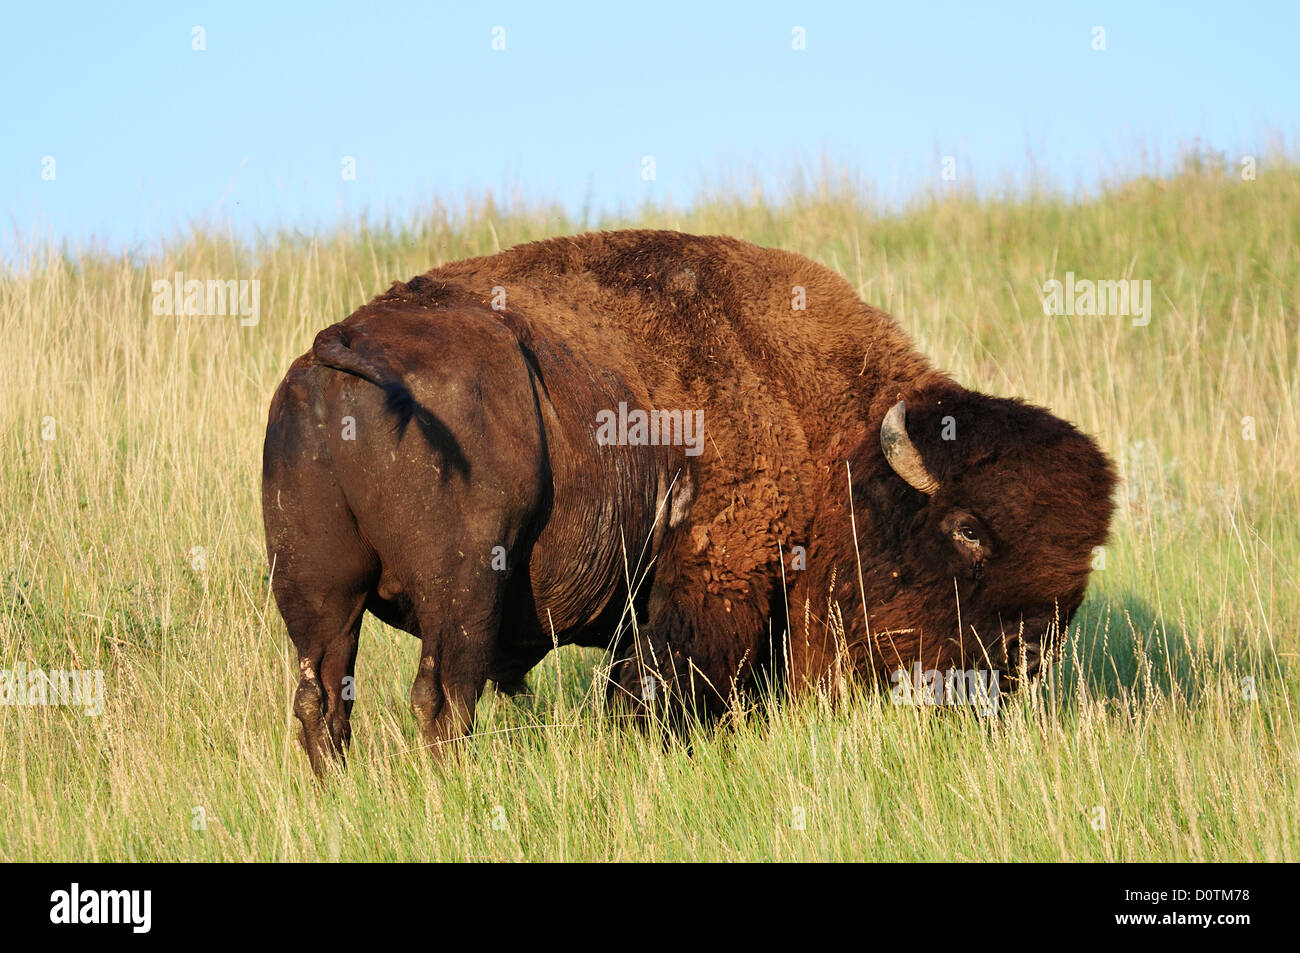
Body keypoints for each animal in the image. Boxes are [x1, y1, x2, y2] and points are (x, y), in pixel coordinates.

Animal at [263, 230, 1118, 774]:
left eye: (1083, 558)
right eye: (969, 527)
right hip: (465, 591)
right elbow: (660, 688)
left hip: (320, 598)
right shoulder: (709, 581)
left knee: (322, 700)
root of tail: (336, 351)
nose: (1028, 655)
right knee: (442, 698)